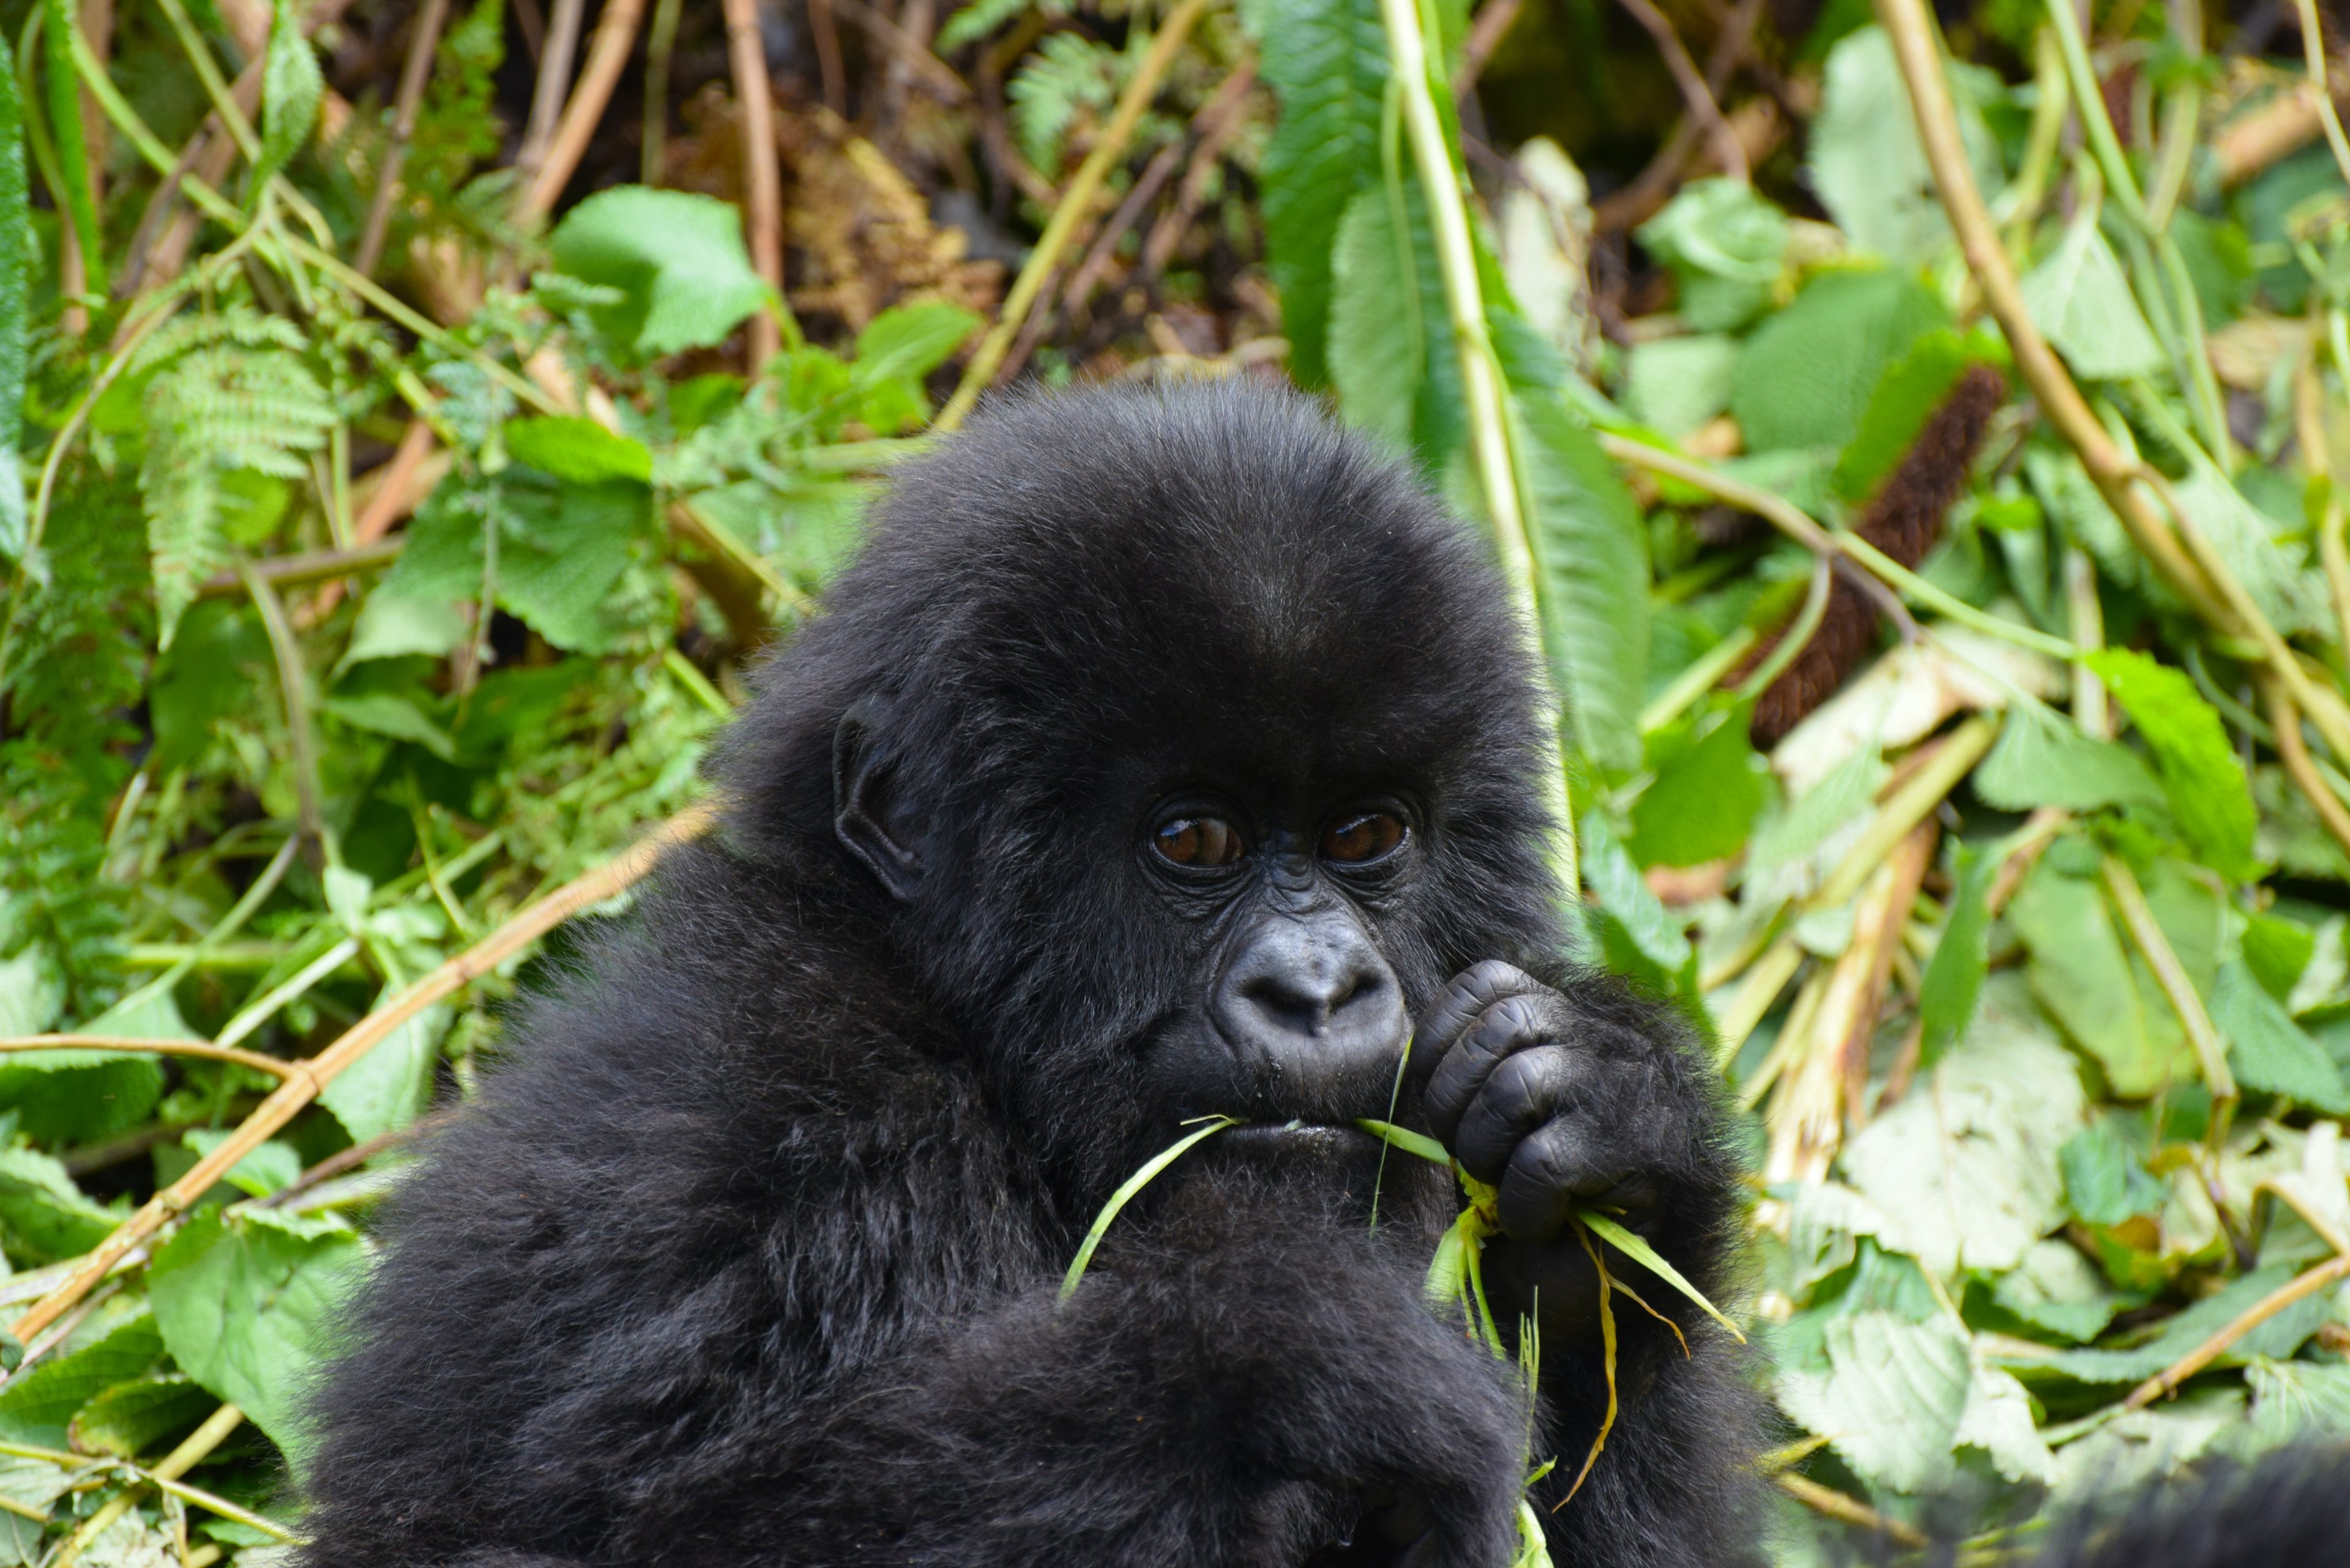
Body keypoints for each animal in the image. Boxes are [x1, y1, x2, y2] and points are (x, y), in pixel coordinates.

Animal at [303, 381, 1758, 1568]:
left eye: (1366, 836)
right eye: (1193, 841)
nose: (1320, 991)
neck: (975, 1046)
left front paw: (1611, 1138)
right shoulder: (760, 1109)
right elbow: (594, 1530)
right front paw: (1293, 1368)